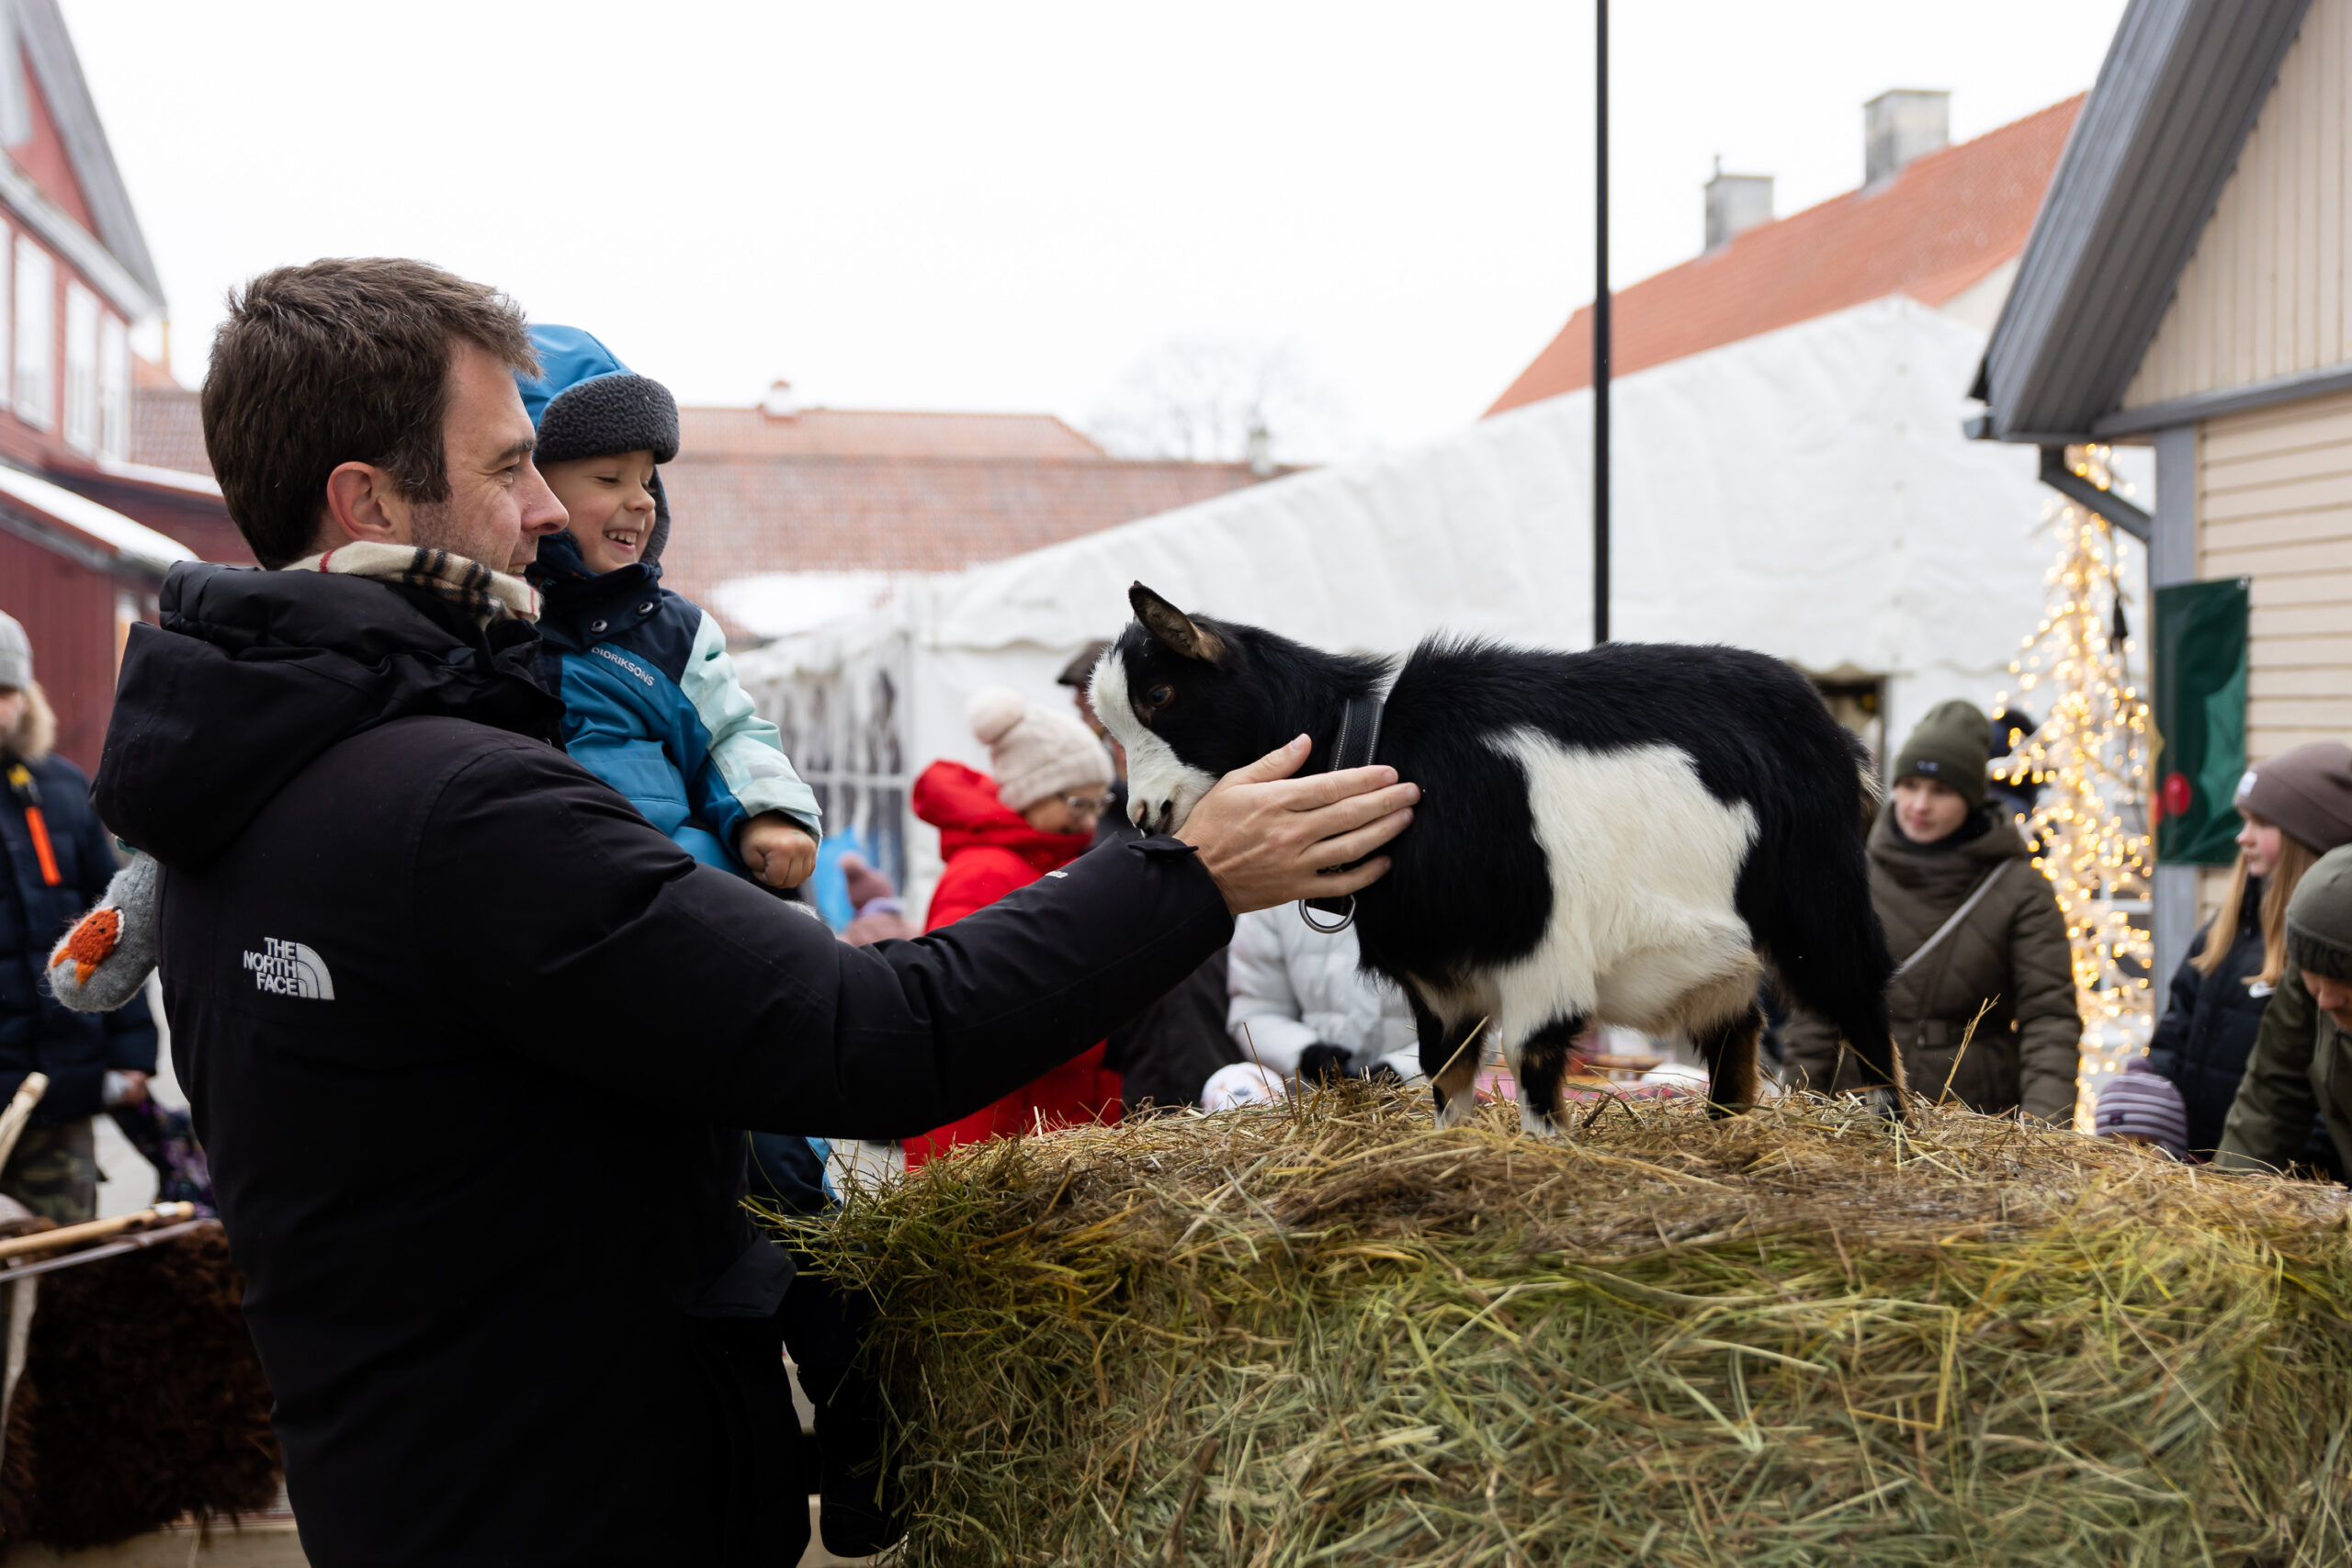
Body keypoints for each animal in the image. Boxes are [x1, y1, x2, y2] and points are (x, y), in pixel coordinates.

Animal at [1091, 582, 1900, 1133]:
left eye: (1161, 693)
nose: (1143, 815)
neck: (1385, 751)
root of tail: (1844, 746)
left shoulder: (1543, 959)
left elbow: (1533, 1069)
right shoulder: (1439, 977)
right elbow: (1446, 1076)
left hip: (1819, 905)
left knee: (1862, 1000)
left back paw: (1891, 1122)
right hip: (1719, 957)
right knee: (1737, 1036)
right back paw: (1727, 1133)